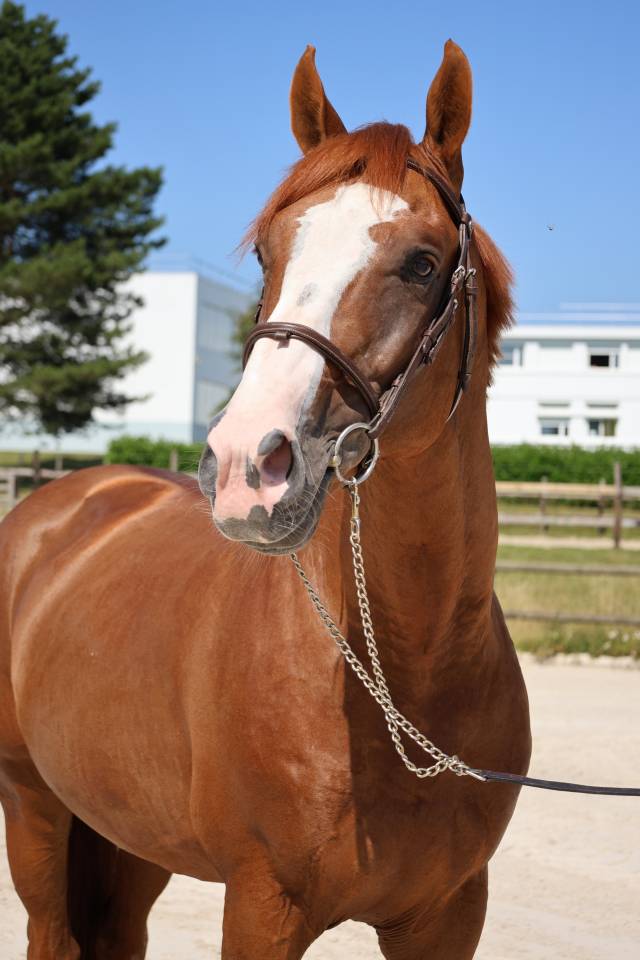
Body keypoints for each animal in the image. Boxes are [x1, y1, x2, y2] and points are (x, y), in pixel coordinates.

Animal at [0, 41, 531, 959]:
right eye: (267, 254)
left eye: (422, 262)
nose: (247, 464)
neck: (408, 680)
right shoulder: (262, 904)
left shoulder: (451, 915)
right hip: (32, 807)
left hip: (129, 841)